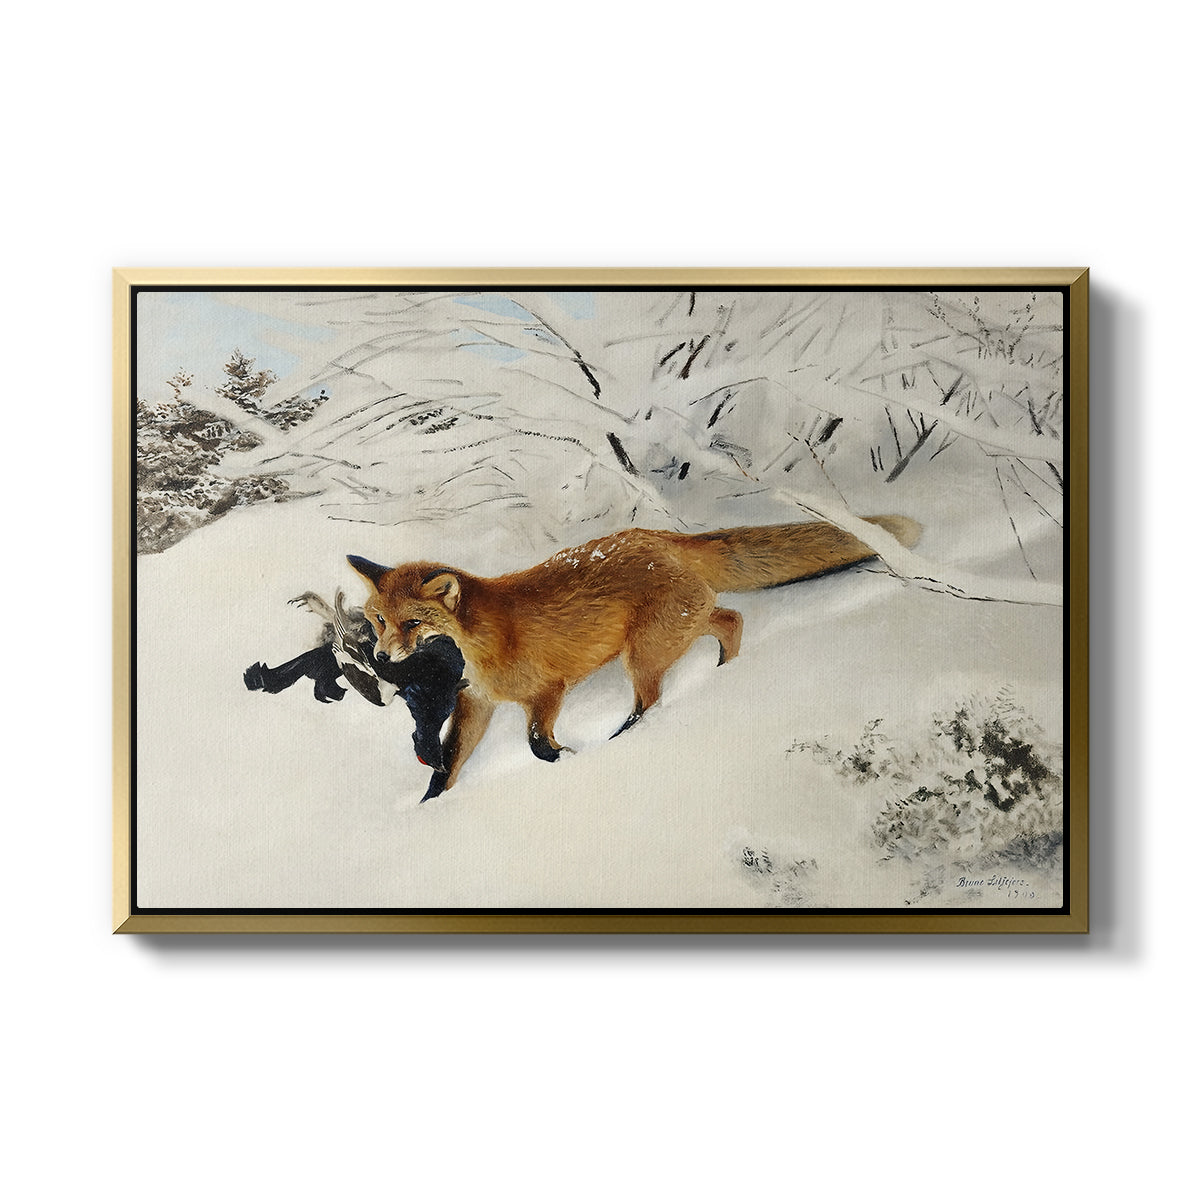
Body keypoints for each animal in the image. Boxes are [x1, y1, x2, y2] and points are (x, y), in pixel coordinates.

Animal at [349, 514, 921, 800]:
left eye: (412, 624)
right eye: (378, 620)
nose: (381, 655)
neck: (482, 643)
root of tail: (661, 537)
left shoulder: (547, 691)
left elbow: (536, 744)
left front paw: (568, 759)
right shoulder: (477, 704)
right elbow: (448, 765)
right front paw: (429, 808)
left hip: (643, 654)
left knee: (652, 699)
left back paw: (628, 737)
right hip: (675, 631)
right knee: (730, 619)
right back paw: (724, 672)